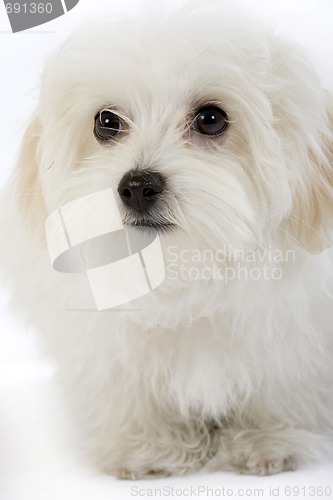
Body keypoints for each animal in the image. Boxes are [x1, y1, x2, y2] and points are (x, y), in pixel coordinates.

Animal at [0, 0, 332, 480]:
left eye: (211, 119)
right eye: (106, 122)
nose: (137, 186)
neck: (183, 269)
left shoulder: (297, 339)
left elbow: (280, 387)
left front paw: (268, 440)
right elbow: (129, 391)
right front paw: (147, 449)